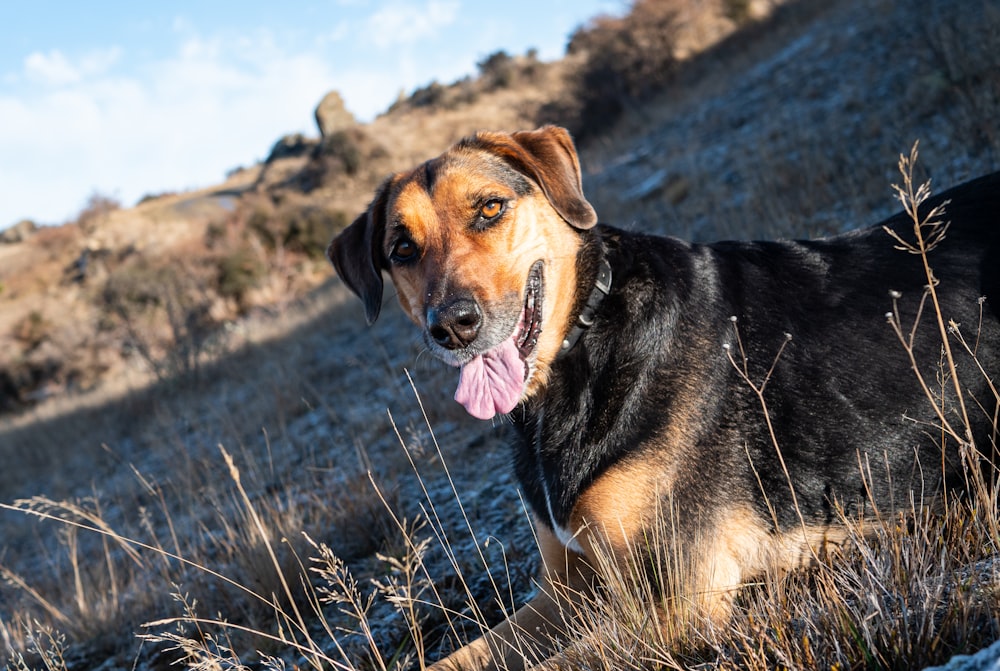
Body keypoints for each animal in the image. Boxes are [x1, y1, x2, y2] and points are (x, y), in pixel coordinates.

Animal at [328, 127, 1000, 671]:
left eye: (490, 208)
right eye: (402, 249)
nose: (452, 326)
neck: (585, 342)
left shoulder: (675, 602)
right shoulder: (564, 592)